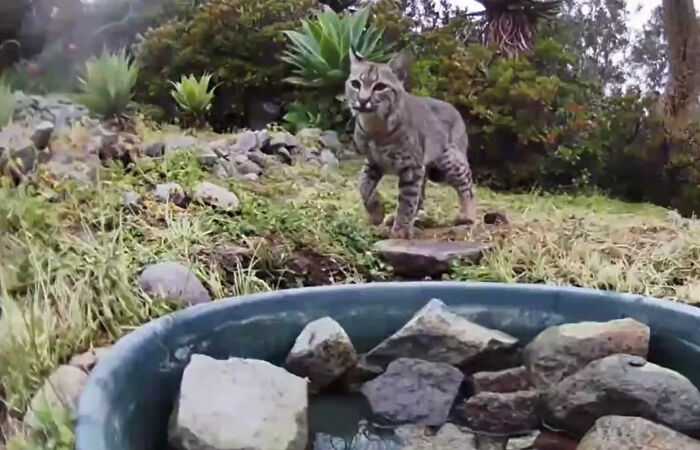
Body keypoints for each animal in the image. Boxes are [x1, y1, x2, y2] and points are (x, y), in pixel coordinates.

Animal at [344, 50, 476, 239]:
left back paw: (467, 216)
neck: (375, 125)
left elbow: (407, 202)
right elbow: (363, 185)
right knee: (421, 196)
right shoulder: (373, 161)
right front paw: (377, 211)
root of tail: (453, 107)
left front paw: (400, 233)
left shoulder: (411, 166)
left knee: (468, 186)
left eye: (380, 87)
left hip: (449, 161)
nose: (362, 100)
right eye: (355, 84)